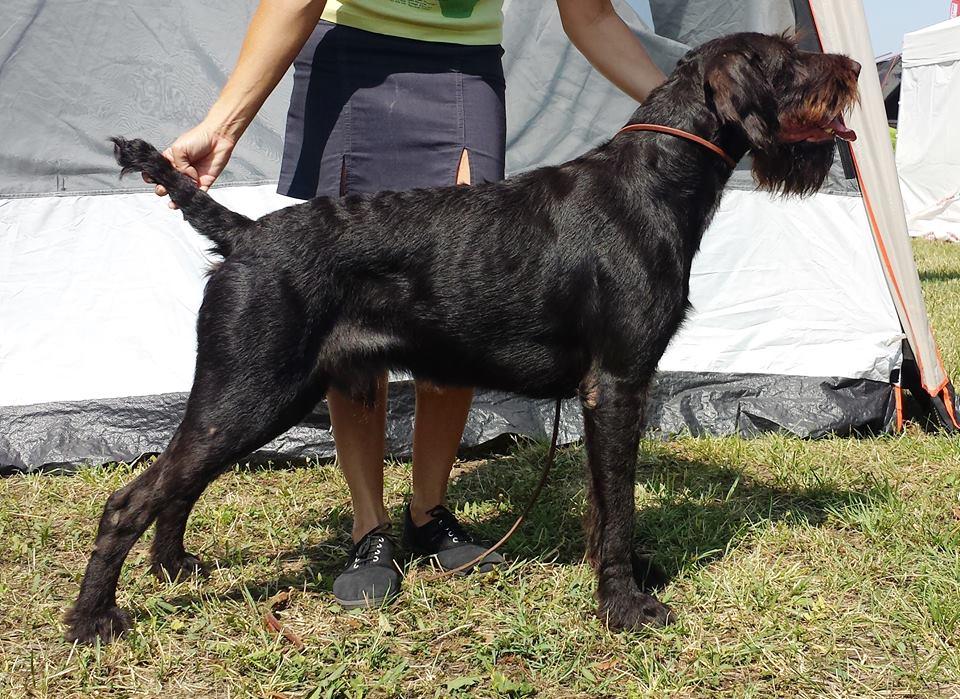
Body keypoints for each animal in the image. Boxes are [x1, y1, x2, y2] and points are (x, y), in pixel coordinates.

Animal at [67, 32, 864, 644]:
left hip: (250, 395)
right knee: (130, 499)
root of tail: (244, 235)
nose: (854, 68)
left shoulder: (604, 391)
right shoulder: (619, 382)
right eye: (791, 59)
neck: (655, 182)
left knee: (178, 482)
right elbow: (620, 502)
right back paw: (94, 619)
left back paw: (174, 567)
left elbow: (603, 502)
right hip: (251, 390)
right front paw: (626, 605)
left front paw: (625, 578)